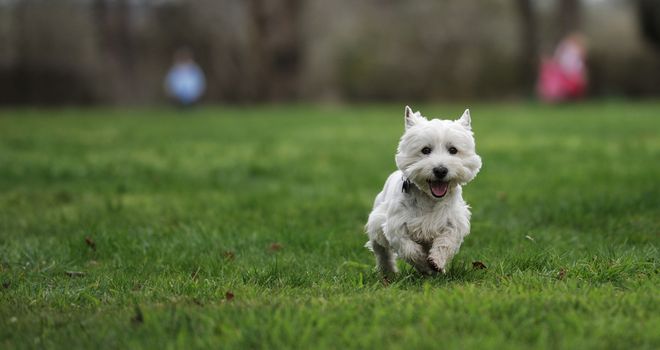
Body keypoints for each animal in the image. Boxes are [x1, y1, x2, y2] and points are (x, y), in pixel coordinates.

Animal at [366, 106, 480, 276]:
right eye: (426, 150)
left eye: (453, 150)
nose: (440, 170)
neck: (430, 199)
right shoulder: (396, 226)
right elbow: (409, 248)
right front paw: (424, 265)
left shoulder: (453, 222)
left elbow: (446, 242)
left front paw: (436, 262)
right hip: (376, 221)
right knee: (382, 252)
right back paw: (388, 273)